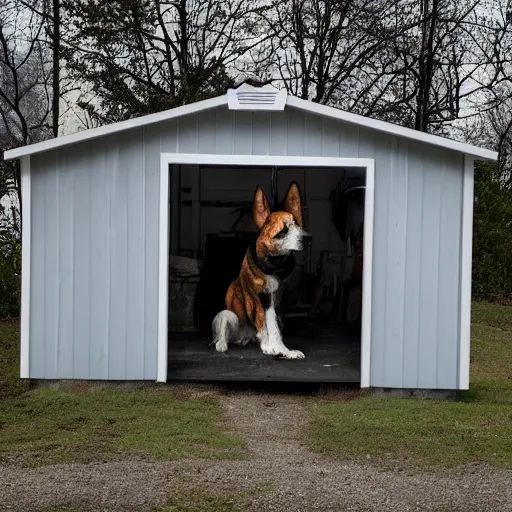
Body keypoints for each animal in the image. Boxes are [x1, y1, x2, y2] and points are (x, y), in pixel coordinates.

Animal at [211, 182, 310, 358]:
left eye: (298, 225)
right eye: (283, 231)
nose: (308, 238)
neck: (275, 265)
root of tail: (244, 336)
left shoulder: (279, 302)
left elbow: (276, 328)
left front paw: (285, 351)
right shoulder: (263, 298)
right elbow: (269, 325)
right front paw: (274, 348)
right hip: (230, 315)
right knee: (222, 330)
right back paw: (222, 344)